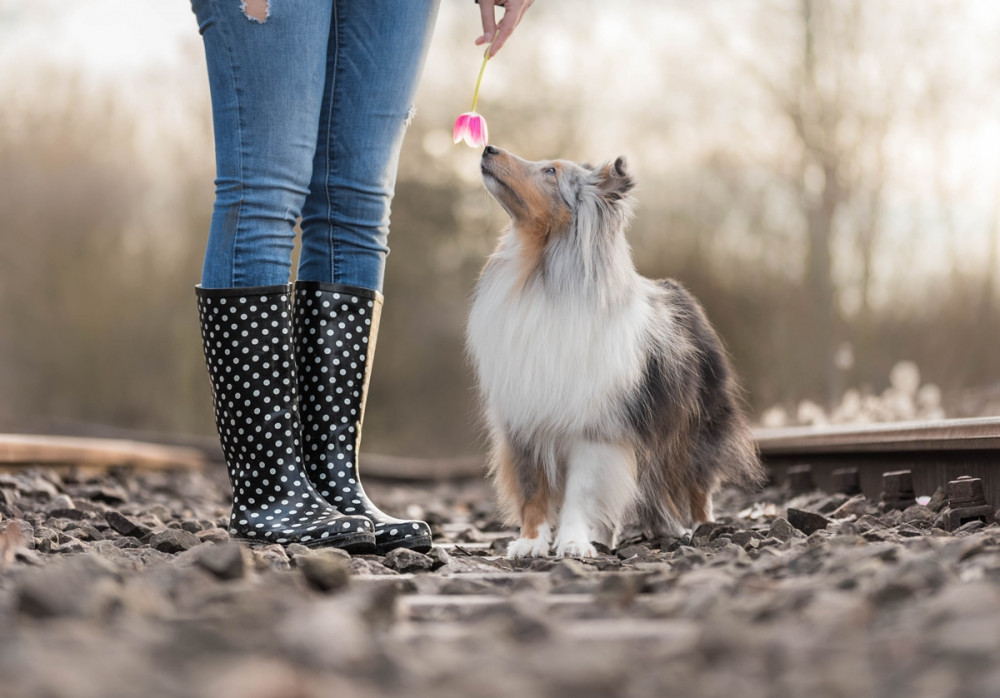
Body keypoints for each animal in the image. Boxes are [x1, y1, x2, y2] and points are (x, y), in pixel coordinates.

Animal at [464, 144, 760, 556]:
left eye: (551, 172)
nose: (489, 148)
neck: (537, 270)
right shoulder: (523, 421)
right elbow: (533, 489)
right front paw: (530, 543)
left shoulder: (595, 429)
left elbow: (581, 492)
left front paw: (573, 543)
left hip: (695, 426)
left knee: (696, 482)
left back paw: (701, 527)